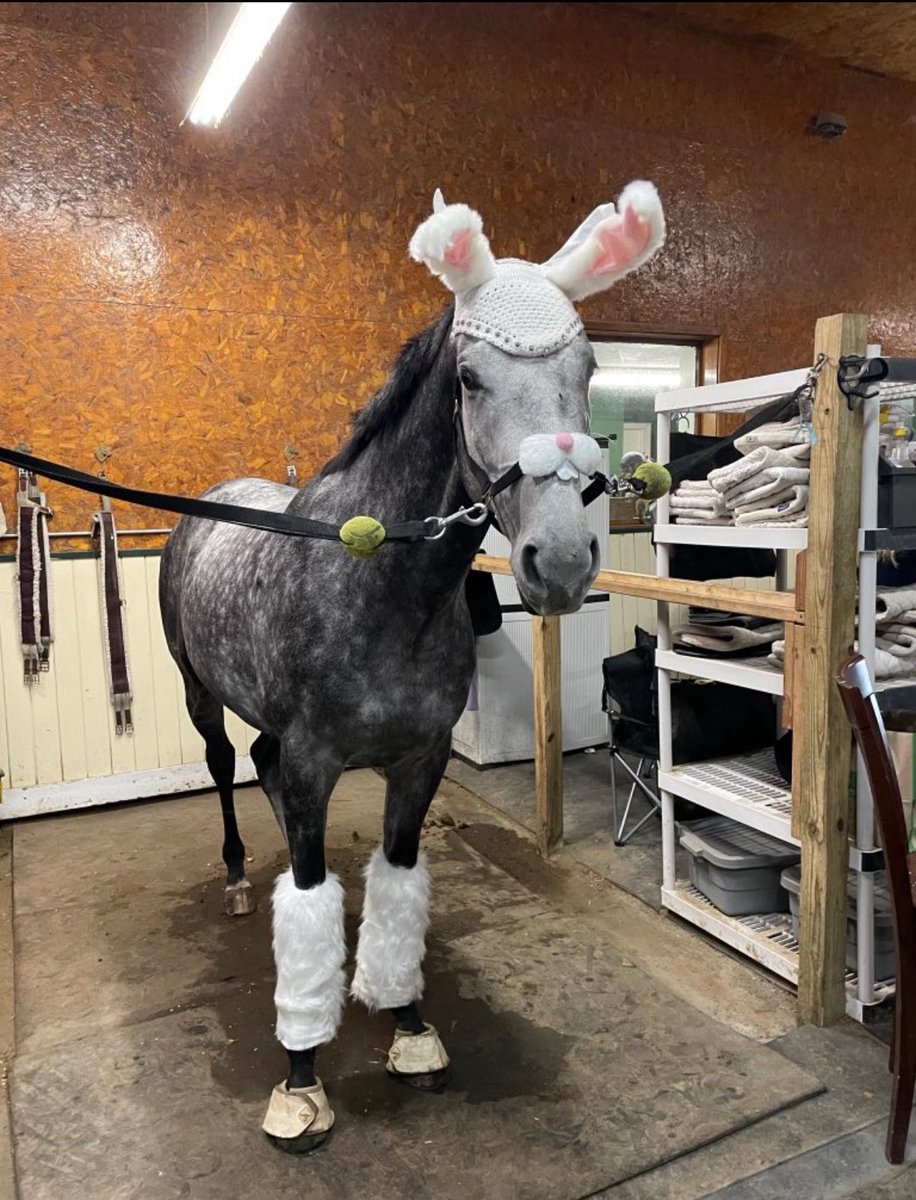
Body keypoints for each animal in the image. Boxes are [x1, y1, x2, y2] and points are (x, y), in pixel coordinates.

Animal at [158, 182, 665, 1152]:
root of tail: (210, 503)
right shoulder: (315, 763)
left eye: (587, 371)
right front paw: (300, 1080)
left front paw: (408, 1026)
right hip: (200, 697)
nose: (562, 560)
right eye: (469, 379)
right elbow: (308, 894)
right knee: (226, 770)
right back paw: (241, 881)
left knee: (265, 776)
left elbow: (394, 885)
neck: (377, 583)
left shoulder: (418, 761)